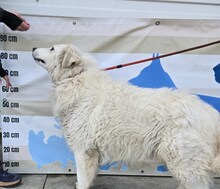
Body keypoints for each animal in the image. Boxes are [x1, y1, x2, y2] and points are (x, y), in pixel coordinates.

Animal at [32, 44, 220, 189]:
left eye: (52, 48)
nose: (33, 48)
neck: (75, 78)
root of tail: (211, 114)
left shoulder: (83, 150)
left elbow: (83, 180)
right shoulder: (91, 154)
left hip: (184, 163)